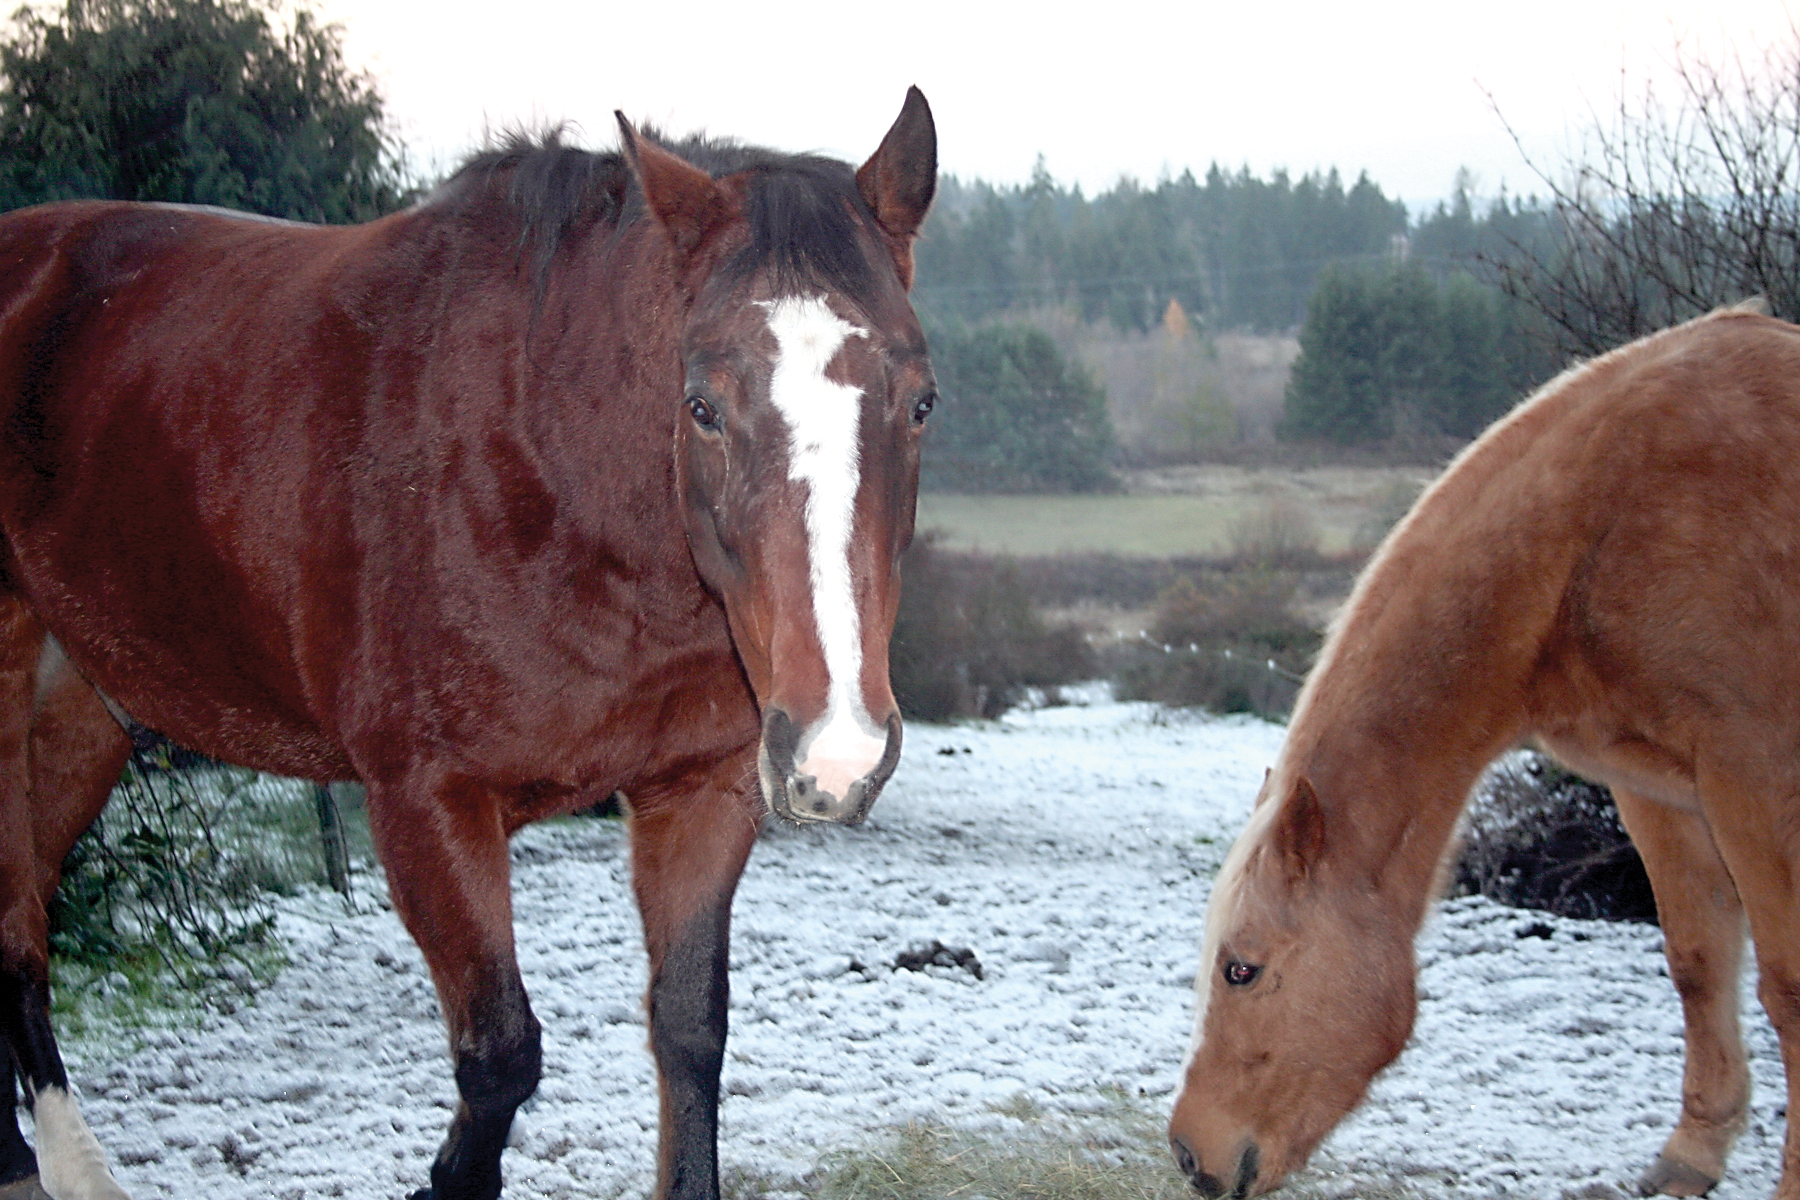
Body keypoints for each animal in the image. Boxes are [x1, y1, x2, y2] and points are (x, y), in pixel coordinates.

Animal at [0, 86, 943, 1200]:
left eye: (921, 402)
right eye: (702, 405)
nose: (838, 752)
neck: (552, 472)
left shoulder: (699, 795)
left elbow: (689, 1032)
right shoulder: (427, 805)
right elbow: (499, 1058)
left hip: (77, 709)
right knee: (16, 937)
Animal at [1166, 309, 1800, 1200]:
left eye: (1241, 969)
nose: (1190, 1155)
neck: (1604, 522)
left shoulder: (1753, 776)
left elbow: (1788, 986)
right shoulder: (1661, 789)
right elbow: (1699, 959)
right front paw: (1691, 1155)